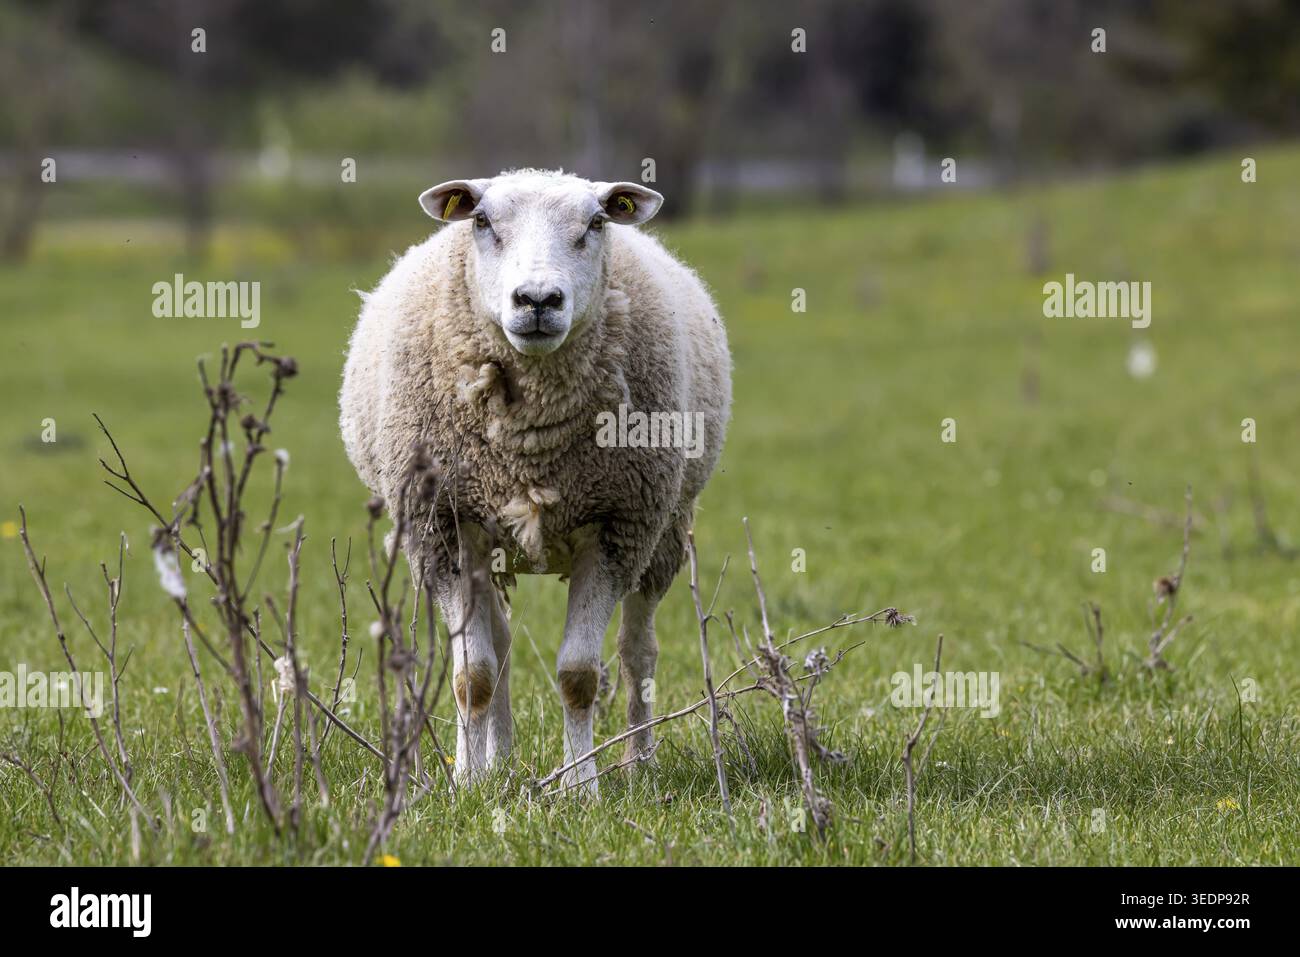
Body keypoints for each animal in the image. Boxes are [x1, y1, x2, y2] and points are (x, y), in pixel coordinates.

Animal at [339, 169, 731, 792]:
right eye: (481, 221)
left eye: (596, 222)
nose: (538, 300)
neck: (530, 445)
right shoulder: (442, 529)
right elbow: (471, 674)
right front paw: (468, 783)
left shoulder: (617, 528)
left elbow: (579, 675)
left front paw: (580, 786)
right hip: (485, 539)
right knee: (496, 647)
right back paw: (495, 759)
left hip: (663, 531)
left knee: (638, 651)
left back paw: (638, 761)